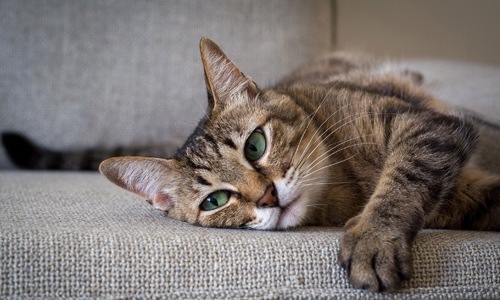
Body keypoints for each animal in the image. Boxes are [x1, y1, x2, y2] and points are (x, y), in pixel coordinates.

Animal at [3, 38, 500, 292]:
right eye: (215, 200)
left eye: (256, 145)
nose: (268, 196)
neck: (347, 183)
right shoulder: (460, 189)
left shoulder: (426, 126)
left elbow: (404, 177)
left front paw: (374, 237)